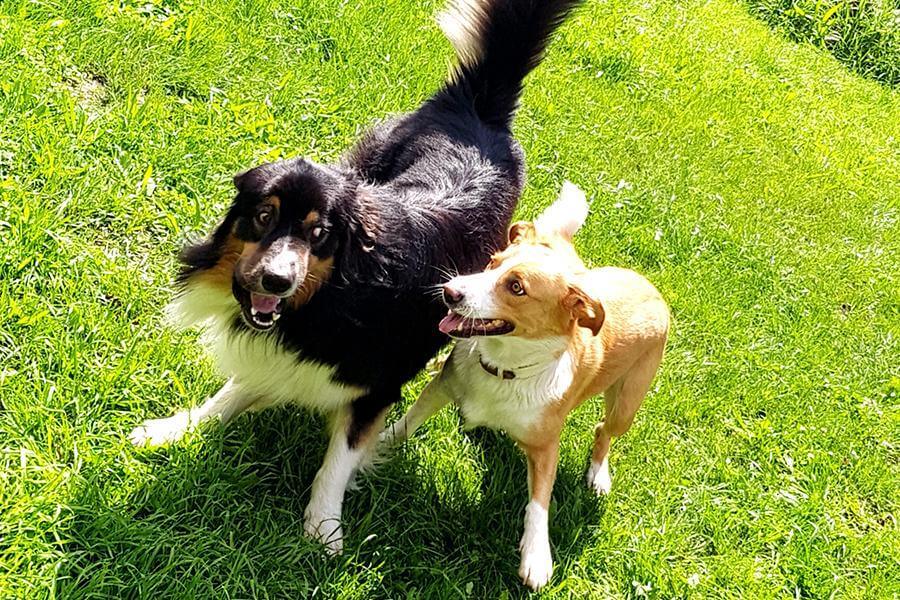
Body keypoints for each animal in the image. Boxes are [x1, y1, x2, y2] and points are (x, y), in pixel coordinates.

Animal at [129, 0, 582, 554]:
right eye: (263, 216)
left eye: (320, 233)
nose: (276, 281)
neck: (331, 300)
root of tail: (478, 108)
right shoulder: (281, 347)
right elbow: (236, 389)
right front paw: (177, 428)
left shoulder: (380, 384)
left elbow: (339, 459)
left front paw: (324, 527)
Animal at [382, 182, 669, 589]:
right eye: (491, 262)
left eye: (516, 287)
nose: (449, 291)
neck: (503, 369)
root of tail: (649, 286)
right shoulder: (441, 387)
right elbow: (404, 424)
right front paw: (376, 445)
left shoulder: (547, 445)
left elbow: (539, 503)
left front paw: (536, 555)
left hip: (628, 403)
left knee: (604, 429)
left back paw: (598, 474)